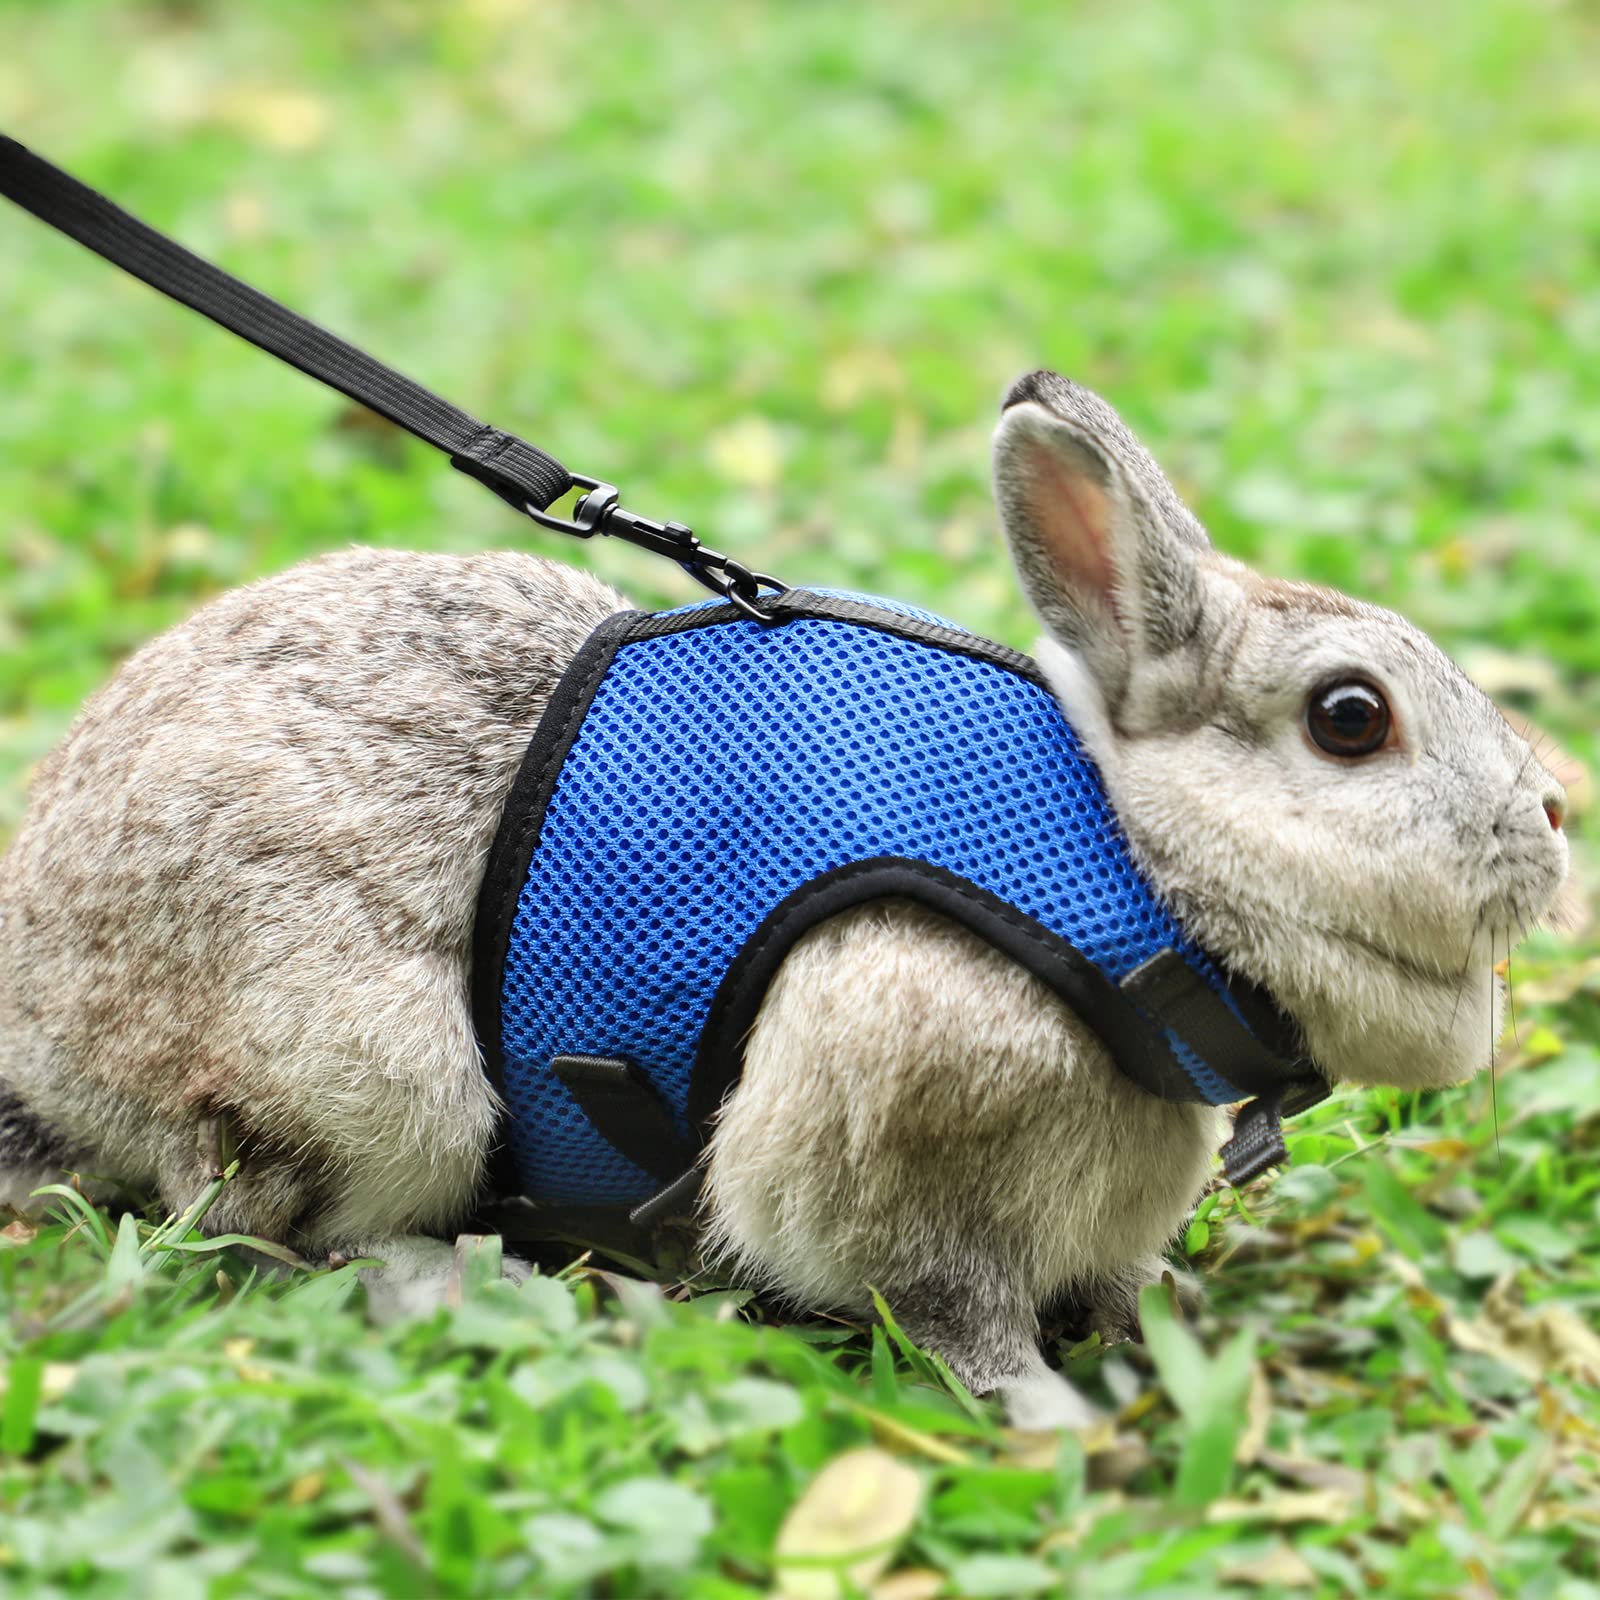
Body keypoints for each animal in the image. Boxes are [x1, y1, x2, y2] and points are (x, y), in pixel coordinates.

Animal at [0, 372, 1570, 1427]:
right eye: (1352, 720)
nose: (1557, 817)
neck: (1125, 863)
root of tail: (46, 1033)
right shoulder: (906, 1165)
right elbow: (952, 1311)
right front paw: (1050, 1421)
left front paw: (1162, 1340)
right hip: (375, 1082)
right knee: (276, 1231)